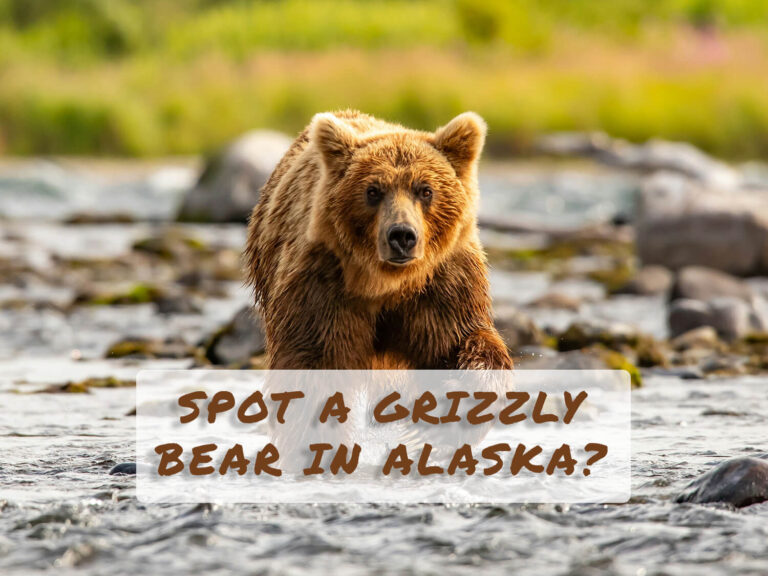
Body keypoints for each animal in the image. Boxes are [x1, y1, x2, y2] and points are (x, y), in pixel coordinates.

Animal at [244, 110, 512, 371]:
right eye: (372, 191)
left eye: (426, 190)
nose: (402, 235)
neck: (385, 283)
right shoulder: (323, 280)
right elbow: (318, 355)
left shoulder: (444, 280)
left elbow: (458, 339)